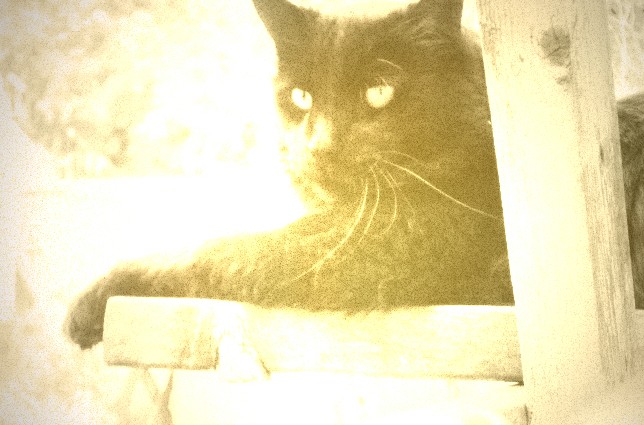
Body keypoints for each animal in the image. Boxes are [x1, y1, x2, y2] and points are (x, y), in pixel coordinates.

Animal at [65, 0, 644, 350]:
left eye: (378, 91)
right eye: (301, 97)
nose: (319, 146)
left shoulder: (381, 240)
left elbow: (220, 250)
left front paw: (93, 299)